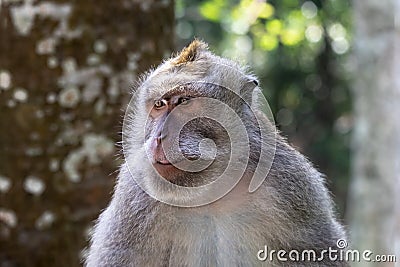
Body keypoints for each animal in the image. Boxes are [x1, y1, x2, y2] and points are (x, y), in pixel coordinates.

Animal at [85, 40, 346, 267]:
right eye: (159, 104)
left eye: (183, 101)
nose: (159, 137)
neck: (211, 191)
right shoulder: (135, 193)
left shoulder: (292, 184)